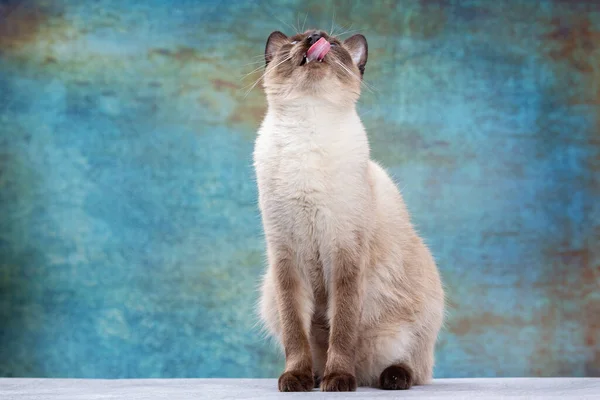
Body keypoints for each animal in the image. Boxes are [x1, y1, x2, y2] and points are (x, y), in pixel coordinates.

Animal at [253, 29, 446, 392]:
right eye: (297, 40)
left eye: (333, 43)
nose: (315, 37)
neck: (308, 127)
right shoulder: (286, 257)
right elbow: (295, 334)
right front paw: (296, 379)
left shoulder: (345, 254)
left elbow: (342, 331)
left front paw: (339, 380)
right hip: (270, 292)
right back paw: (315, 376)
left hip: (412, 314)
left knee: (413, 366)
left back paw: (385, 378)